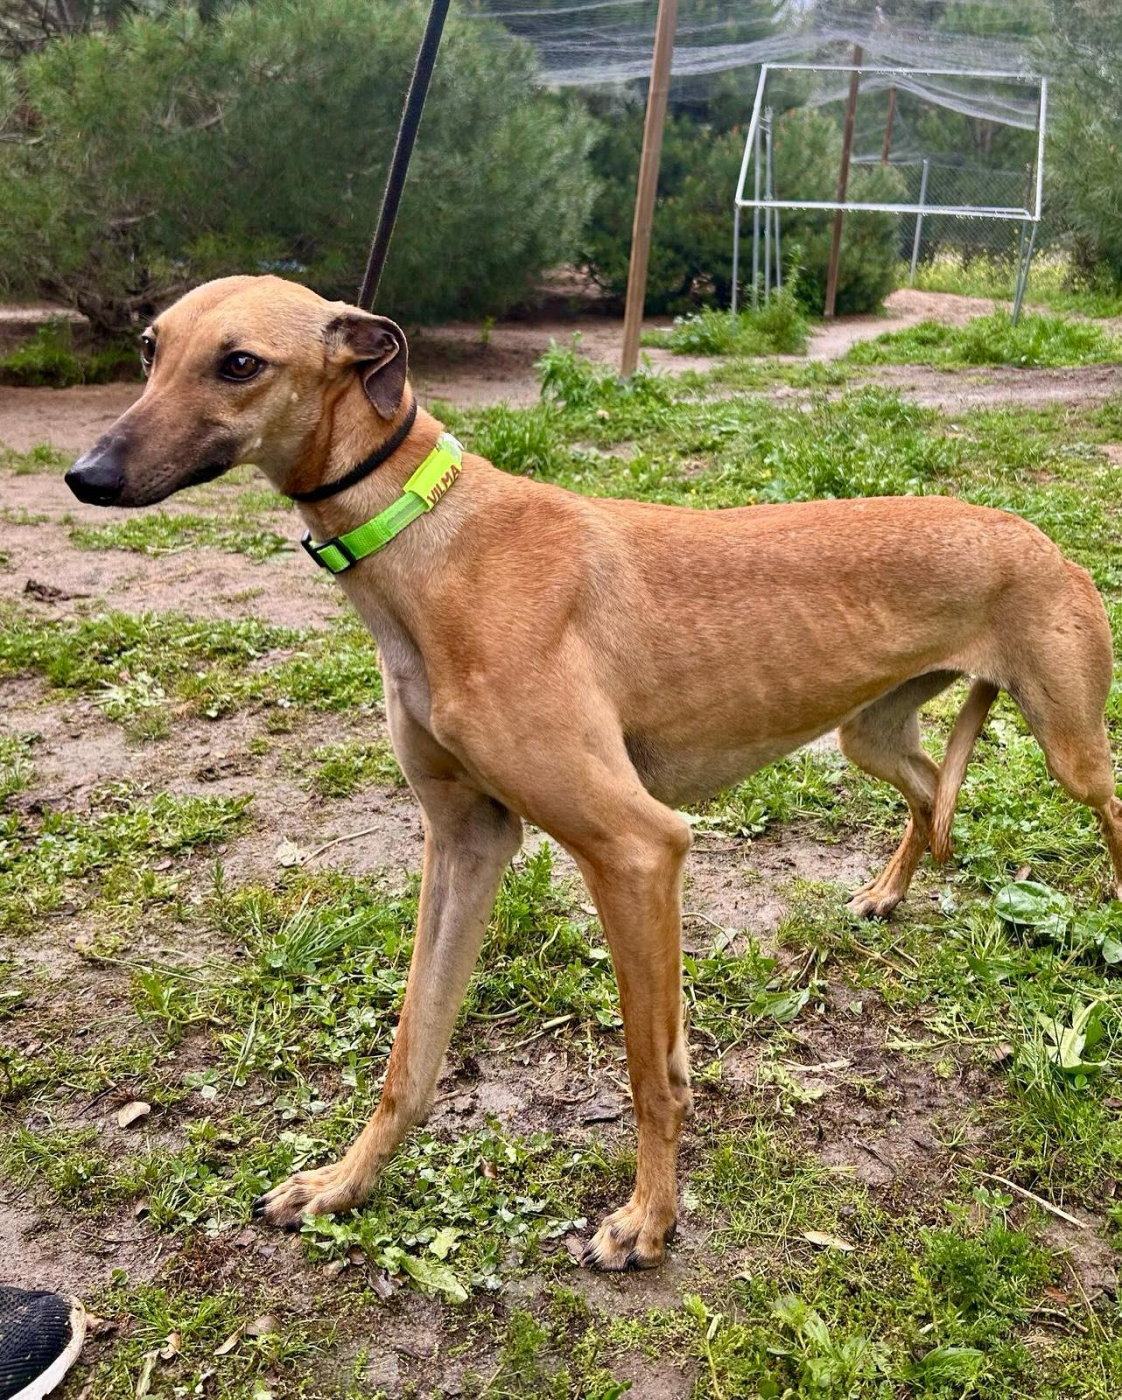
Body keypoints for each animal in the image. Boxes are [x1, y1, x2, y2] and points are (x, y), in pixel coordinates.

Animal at [65, 275, 1122, 1270]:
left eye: (239, 363)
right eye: (151, 349)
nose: (85, 475)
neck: (428, 540)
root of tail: (1030, 532)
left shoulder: (638, 848)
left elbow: (651, 1076)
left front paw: (648, 1223)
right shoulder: (467, 839)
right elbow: (413, 1052)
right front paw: (341, 1184)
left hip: (1070, 746)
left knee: (1105, 808)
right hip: (872, 734)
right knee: (931, 796)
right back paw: (887, 892)